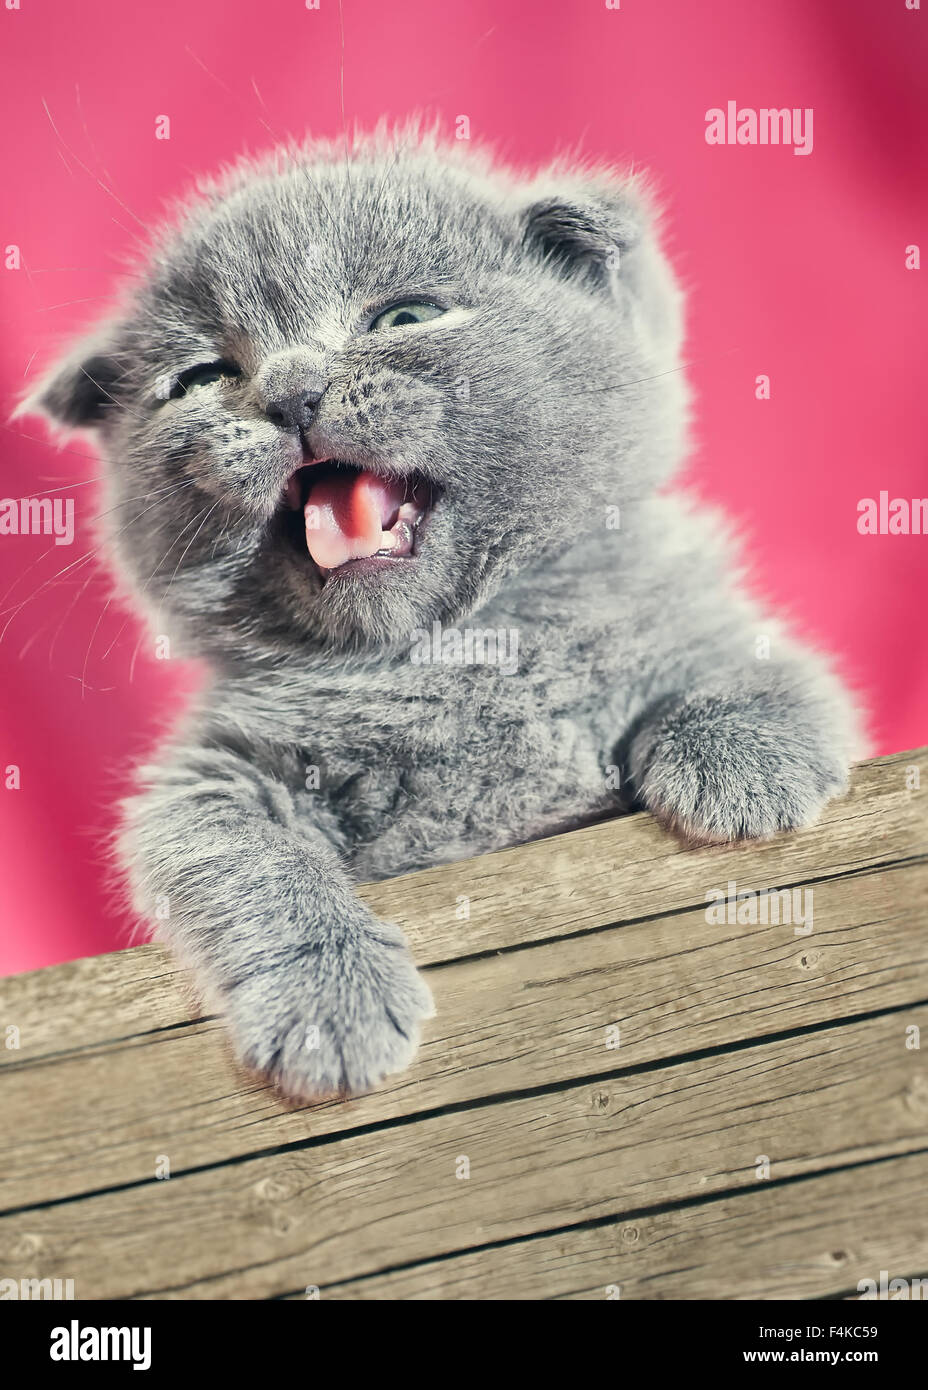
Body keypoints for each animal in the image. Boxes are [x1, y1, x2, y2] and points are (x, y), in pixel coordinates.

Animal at [19, 135, 861, 1100]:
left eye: (405, 317)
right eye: (201, 378)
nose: (292, 392)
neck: (452, 652)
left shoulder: (695, 611)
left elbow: (769, 664)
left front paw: (741, 758)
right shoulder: (211, 769)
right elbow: (232, 850)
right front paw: (329, 1002)